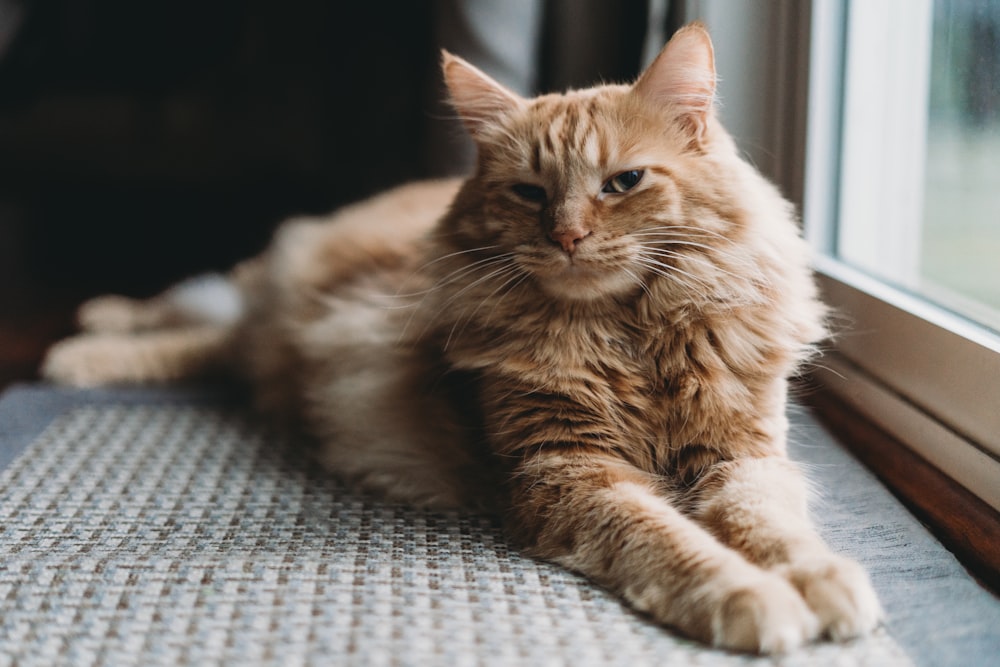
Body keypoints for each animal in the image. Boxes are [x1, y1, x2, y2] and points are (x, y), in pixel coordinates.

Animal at [43, 24, 880, 652]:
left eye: (623, 183)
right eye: (530, 193)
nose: (568, 236)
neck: (627, 337)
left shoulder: (740, 453)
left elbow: (769, 525)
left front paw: (822, 579)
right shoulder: (566, 471)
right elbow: (674, 541)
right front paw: (751, 596)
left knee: (216, 342)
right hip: (267, 286)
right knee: (197, 315)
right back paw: (86, 340)